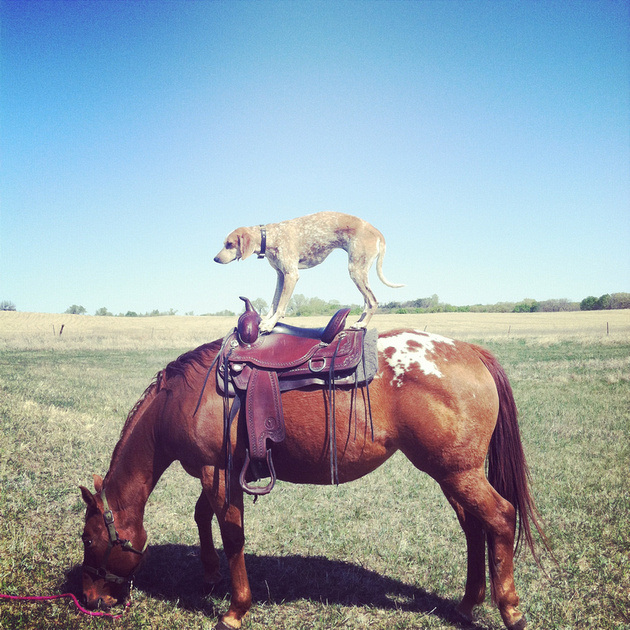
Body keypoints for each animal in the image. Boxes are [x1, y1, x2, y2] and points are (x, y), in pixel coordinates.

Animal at [79, 330, 544, 630]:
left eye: (87, 539)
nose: (90, 599)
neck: (184, 398)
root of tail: (470, 351)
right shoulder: (216, 473)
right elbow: (202, 517)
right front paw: (210, 575)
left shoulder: (218, 473)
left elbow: (232, 534)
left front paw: (234, 610)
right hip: (453, 475)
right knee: (474, 528)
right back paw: (467, 605)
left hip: (458, 473)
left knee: (501, 518)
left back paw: (511, 611)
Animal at [215, 211, 404, 334]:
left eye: (229, 244)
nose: (215, 259)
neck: (270, 236)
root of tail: (376, 231)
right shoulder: (280, 275)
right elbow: (274, 303)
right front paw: (267, 320)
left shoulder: (291, 275)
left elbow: (281, 306)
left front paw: (269, 325)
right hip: (360, 272)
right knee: (366, 302)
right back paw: (360, 323)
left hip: (356, 270)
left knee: (373, 301)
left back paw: (362, 324)